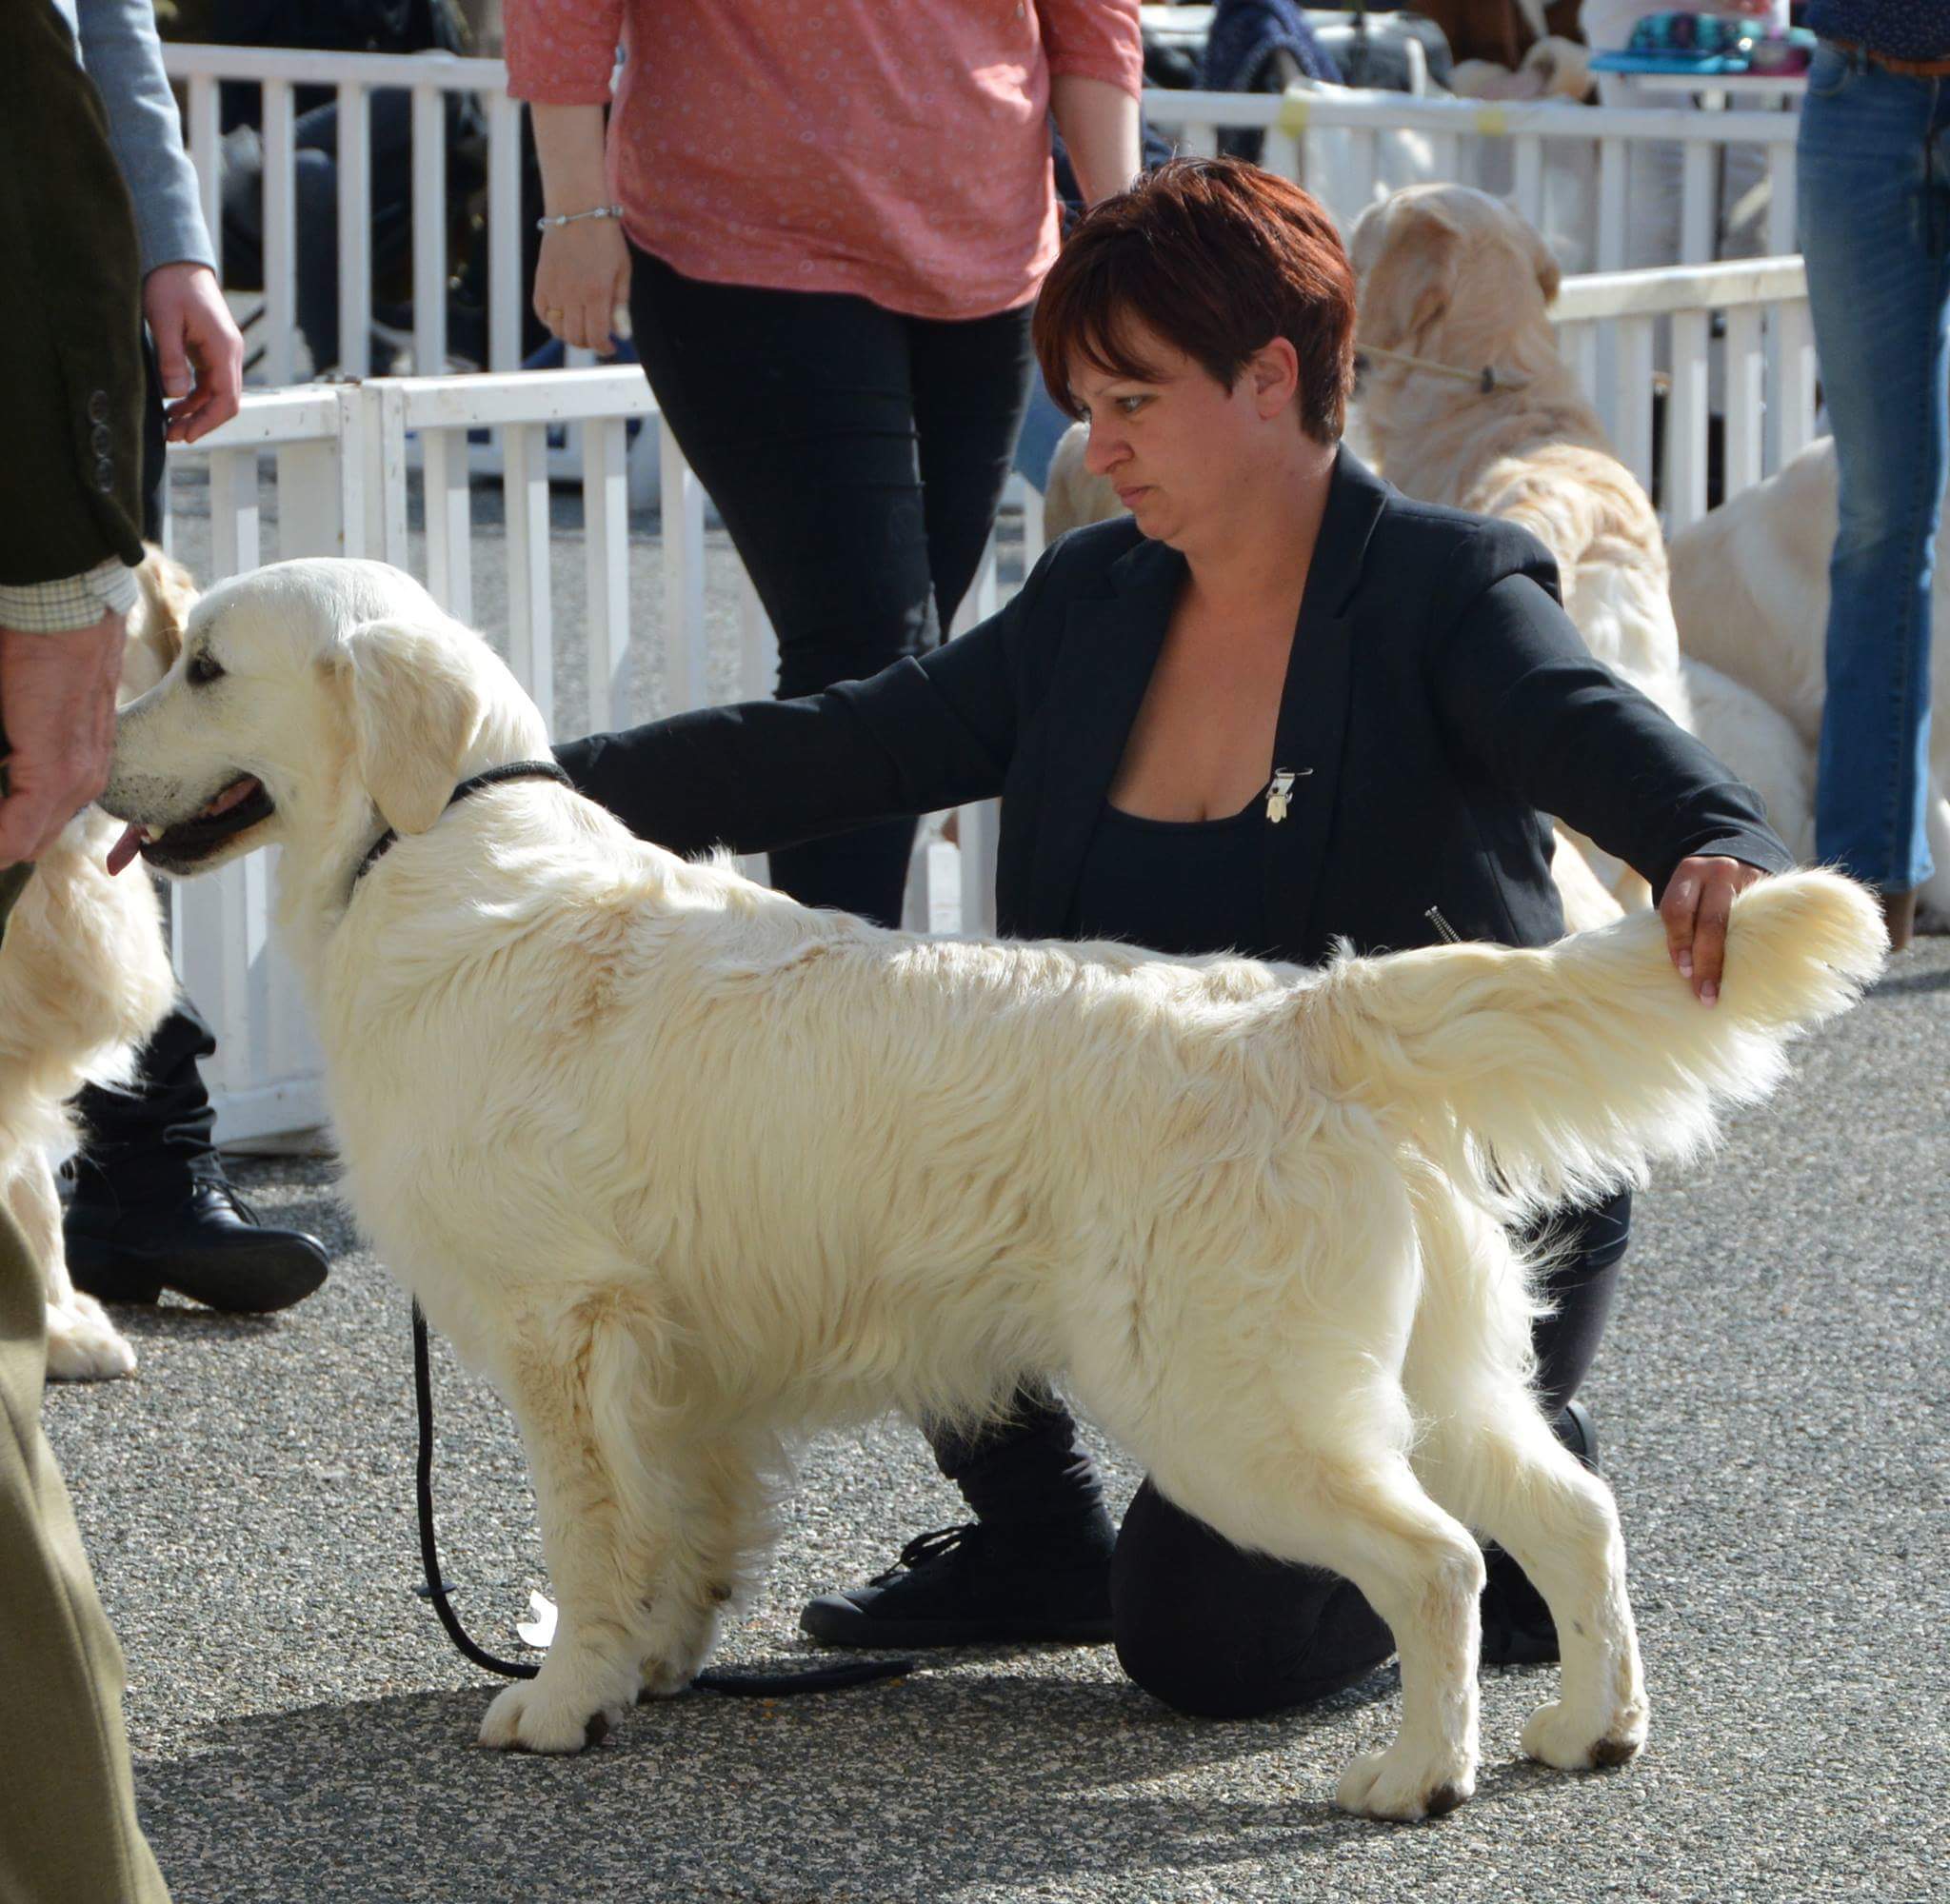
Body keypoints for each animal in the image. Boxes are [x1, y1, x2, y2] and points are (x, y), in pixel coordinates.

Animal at [98, 557, 1880, 1824]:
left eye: (203, 665)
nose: (92, 763)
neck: (429, 852)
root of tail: (1305, 1012)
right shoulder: (676, 1356)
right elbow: (685, 1524)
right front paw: (661, 1666)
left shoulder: (562, 1325)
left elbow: (591, 1534)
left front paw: (562, 1697)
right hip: (1430, 1373)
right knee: (1568, 1515)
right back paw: (1588, 1728)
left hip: (1233, 1409)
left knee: (1437, 1561)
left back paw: (1410, 1776)